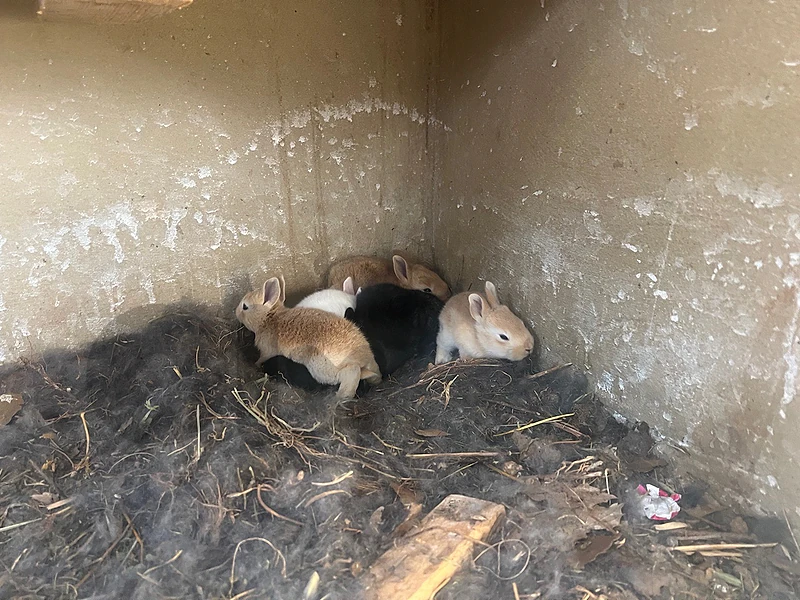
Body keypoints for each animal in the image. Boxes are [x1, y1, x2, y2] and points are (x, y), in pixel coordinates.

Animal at [236, 276, 382, 398]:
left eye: (245, 306)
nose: (236, 312)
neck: (268, 319)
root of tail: (365, 357)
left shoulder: (267, 352)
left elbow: (261, 359)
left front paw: (255, 364)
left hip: (322, 368)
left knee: (351, 372)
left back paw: (342, 396)